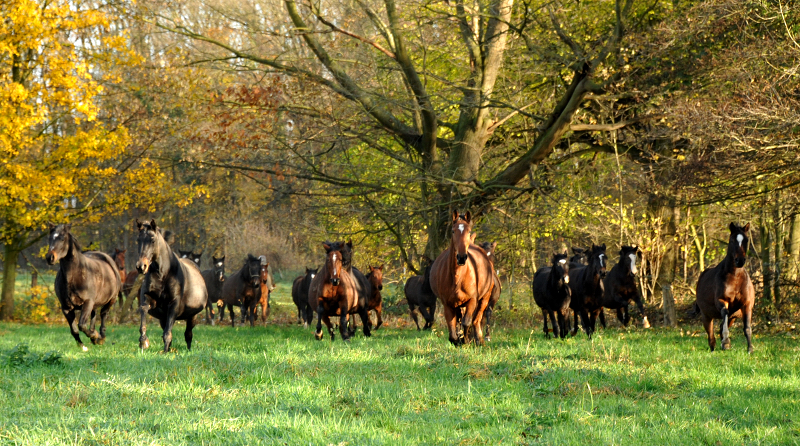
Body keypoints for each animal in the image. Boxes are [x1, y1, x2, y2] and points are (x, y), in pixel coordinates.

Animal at [135, 220, 208, 352]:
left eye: (152, 240)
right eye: (138, 239)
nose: (141, 266)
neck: (163, 274)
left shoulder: (173, 305)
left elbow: (168, 334)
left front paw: (164, 352)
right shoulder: (150, 300)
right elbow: (143, 309)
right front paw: (143, 341)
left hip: (192, 316)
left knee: (188, 334)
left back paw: (188, 350)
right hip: (163, 318)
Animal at [432, 211, 494, 346]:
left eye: (468, 231)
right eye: (453, 231)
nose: (461, 257)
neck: (458, 277)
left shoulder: (472, 300)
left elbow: (467, 321)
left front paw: (465, 340)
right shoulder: (447, 303)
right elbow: (452, 329)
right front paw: (458, 340)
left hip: (484, 298)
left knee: (476, 319)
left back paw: (479, 340)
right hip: (459, 304)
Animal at [692, 223, 756, 352]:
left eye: (746, 240)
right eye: (732, 240)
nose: (740, 261)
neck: (735, 278)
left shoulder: (747, 304)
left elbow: (747, 328)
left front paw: (750, 349)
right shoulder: (722, 301)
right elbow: (724, 313)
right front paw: (726, 342)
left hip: (733, 318)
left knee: (721, 327)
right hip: (706, 317)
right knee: (711, 336)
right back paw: (715, 348)